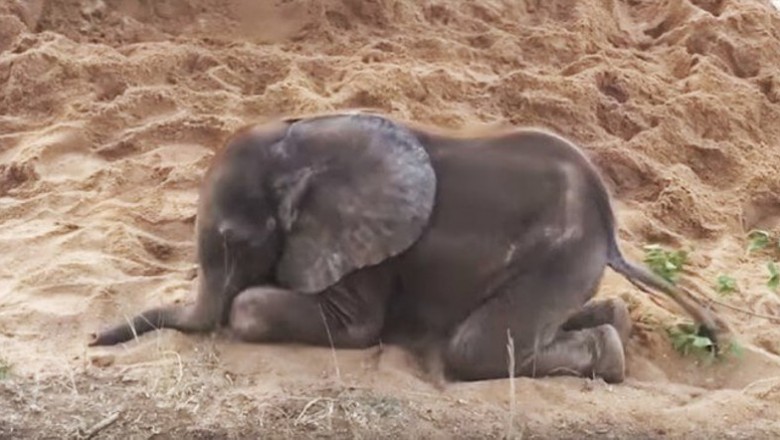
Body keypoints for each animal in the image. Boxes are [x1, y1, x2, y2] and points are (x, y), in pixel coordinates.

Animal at [91, 111, 732, 384]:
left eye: (233, 241)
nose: (94, 340)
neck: (302, 143)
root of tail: (609, 225)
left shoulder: (367, 245)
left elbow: (350, 327)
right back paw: (615, 323)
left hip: (558, 254)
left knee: (473, 351)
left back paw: (610, 358)